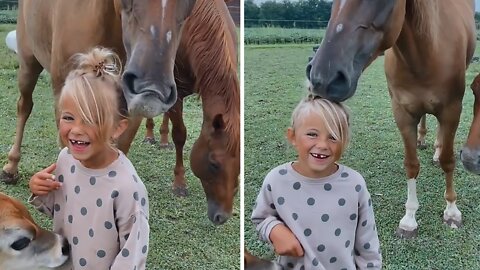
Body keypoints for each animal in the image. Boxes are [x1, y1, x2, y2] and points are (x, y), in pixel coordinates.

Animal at [308, 0, 476, 237]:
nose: (323, 77)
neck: (426, 53)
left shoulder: (452, 111)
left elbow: (448, 160)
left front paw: (452, 211)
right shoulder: (402, 114)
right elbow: (411, 165)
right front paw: (409, 219)